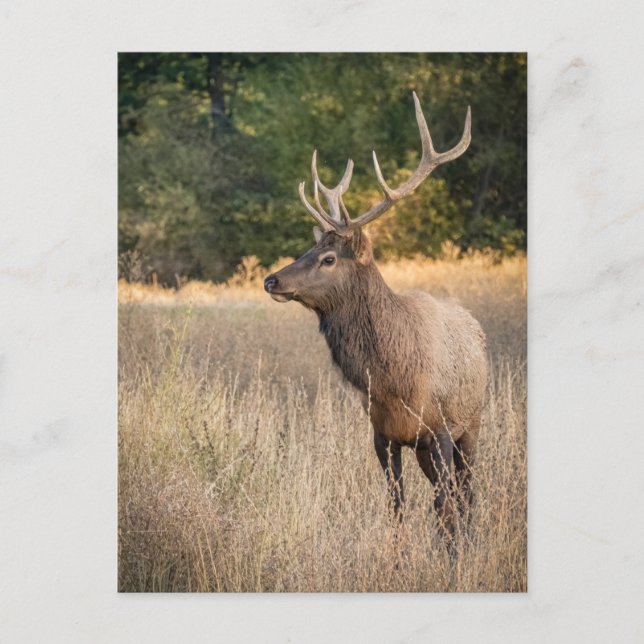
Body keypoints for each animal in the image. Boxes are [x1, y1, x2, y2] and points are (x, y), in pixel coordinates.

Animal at [264, 93, 487, 535]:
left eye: (329, 258)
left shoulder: (440, 429)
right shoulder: (382, 434)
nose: (272, 279)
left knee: (465, 495)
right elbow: (396, 506)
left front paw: (450, 552)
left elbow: (444, 507)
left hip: (472, 424)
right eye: (310, 248)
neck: (392, 380)